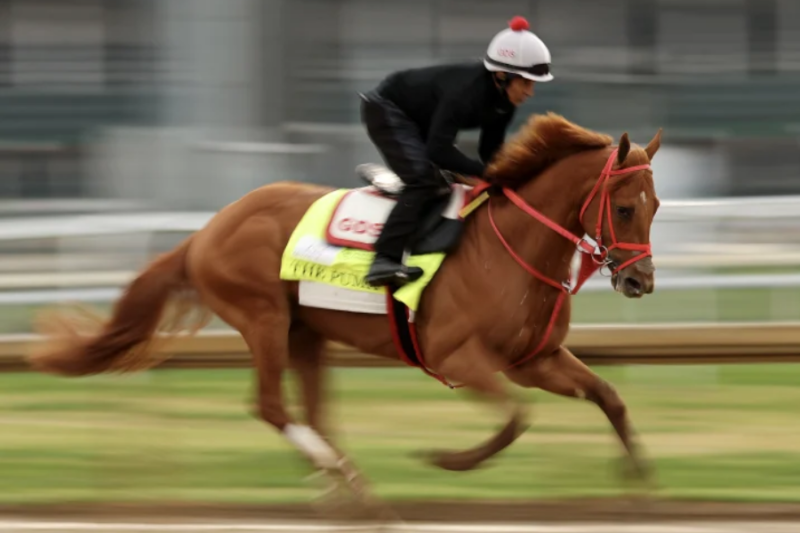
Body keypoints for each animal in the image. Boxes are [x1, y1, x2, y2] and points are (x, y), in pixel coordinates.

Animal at [28, 112, 662, 515]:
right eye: (624, 208)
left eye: (656, 206)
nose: (640, 281)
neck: (509, 247)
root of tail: (206, 231)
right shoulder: (458, 356)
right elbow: (514, 420)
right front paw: (447, 460)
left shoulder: (535, 358)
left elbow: (608, 396)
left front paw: (639, 483)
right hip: (262, 318)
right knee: (272, 406)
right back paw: (356, 488)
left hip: (305, 333)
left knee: (314, 414)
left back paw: (344, 488)